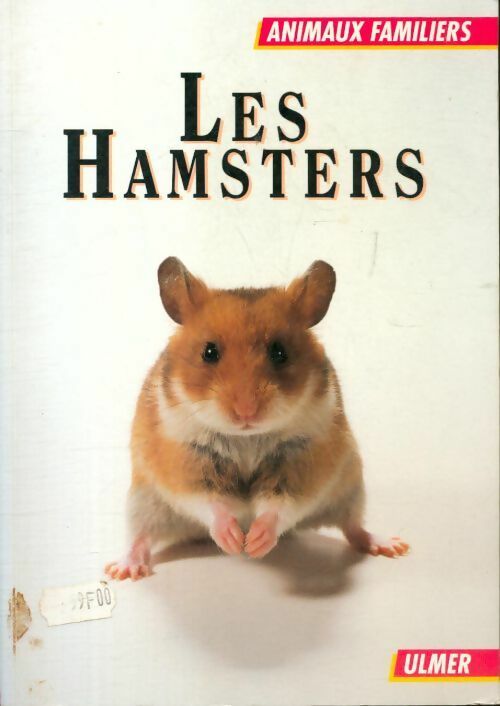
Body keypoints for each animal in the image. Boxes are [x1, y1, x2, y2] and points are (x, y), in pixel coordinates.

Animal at [105, 257, 408, 580]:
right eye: (209, 352)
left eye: (279, 352)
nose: (246, 412)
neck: (246, 437)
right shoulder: (183, 460)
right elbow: (209, 501)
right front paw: (233, 541)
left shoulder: (305, 459)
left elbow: (281, 505)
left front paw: (254, 544)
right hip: (144, 502)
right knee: (141, 537)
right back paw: (122, 571)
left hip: (350, 490)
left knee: (353, 528)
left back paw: (393, 546)